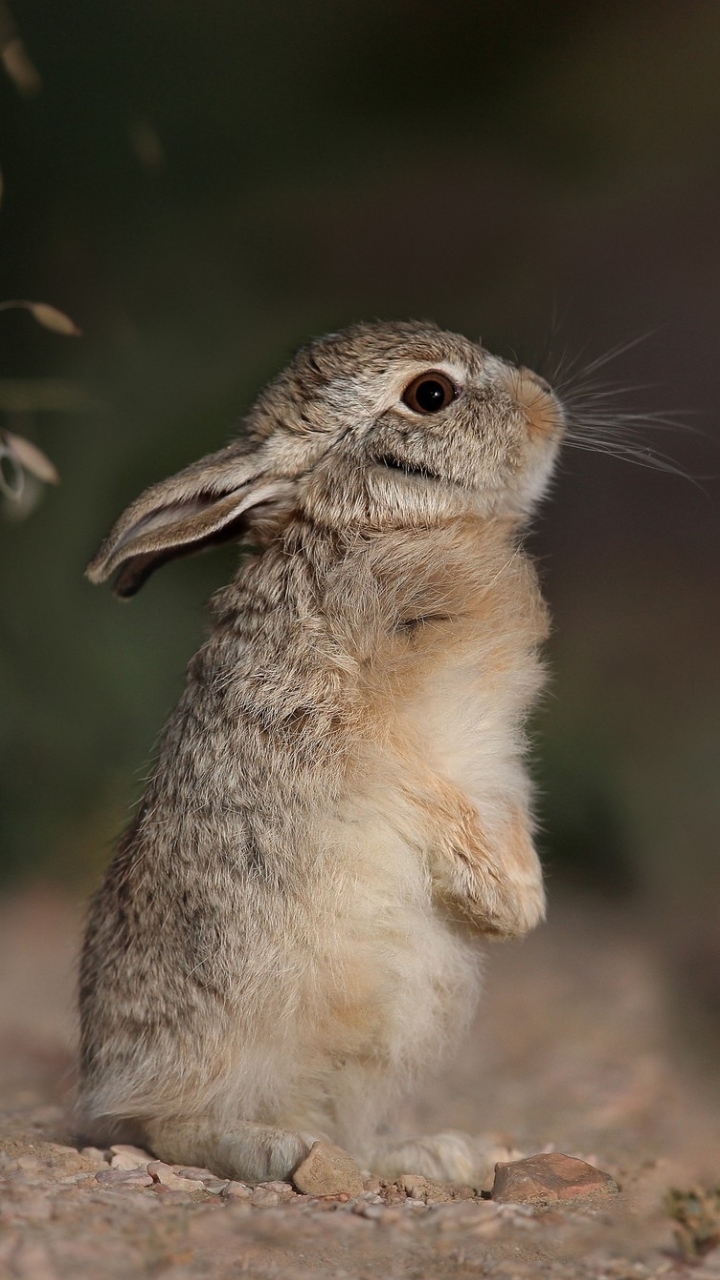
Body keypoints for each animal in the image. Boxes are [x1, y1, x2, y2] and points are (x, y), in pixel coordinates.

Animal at [77, 322, 561, 1187]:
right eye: (430, 394)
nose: (548, 405)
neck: (381, 526)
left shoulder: (497, 764)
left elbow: (503, 812)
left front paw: (517, 906)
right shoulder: (365, 735)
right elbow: (428, 797)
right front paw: (507, 907)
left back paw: (429, 1154)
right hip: (246, 1010)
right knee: (166, 1125)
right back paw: (270, 1148)